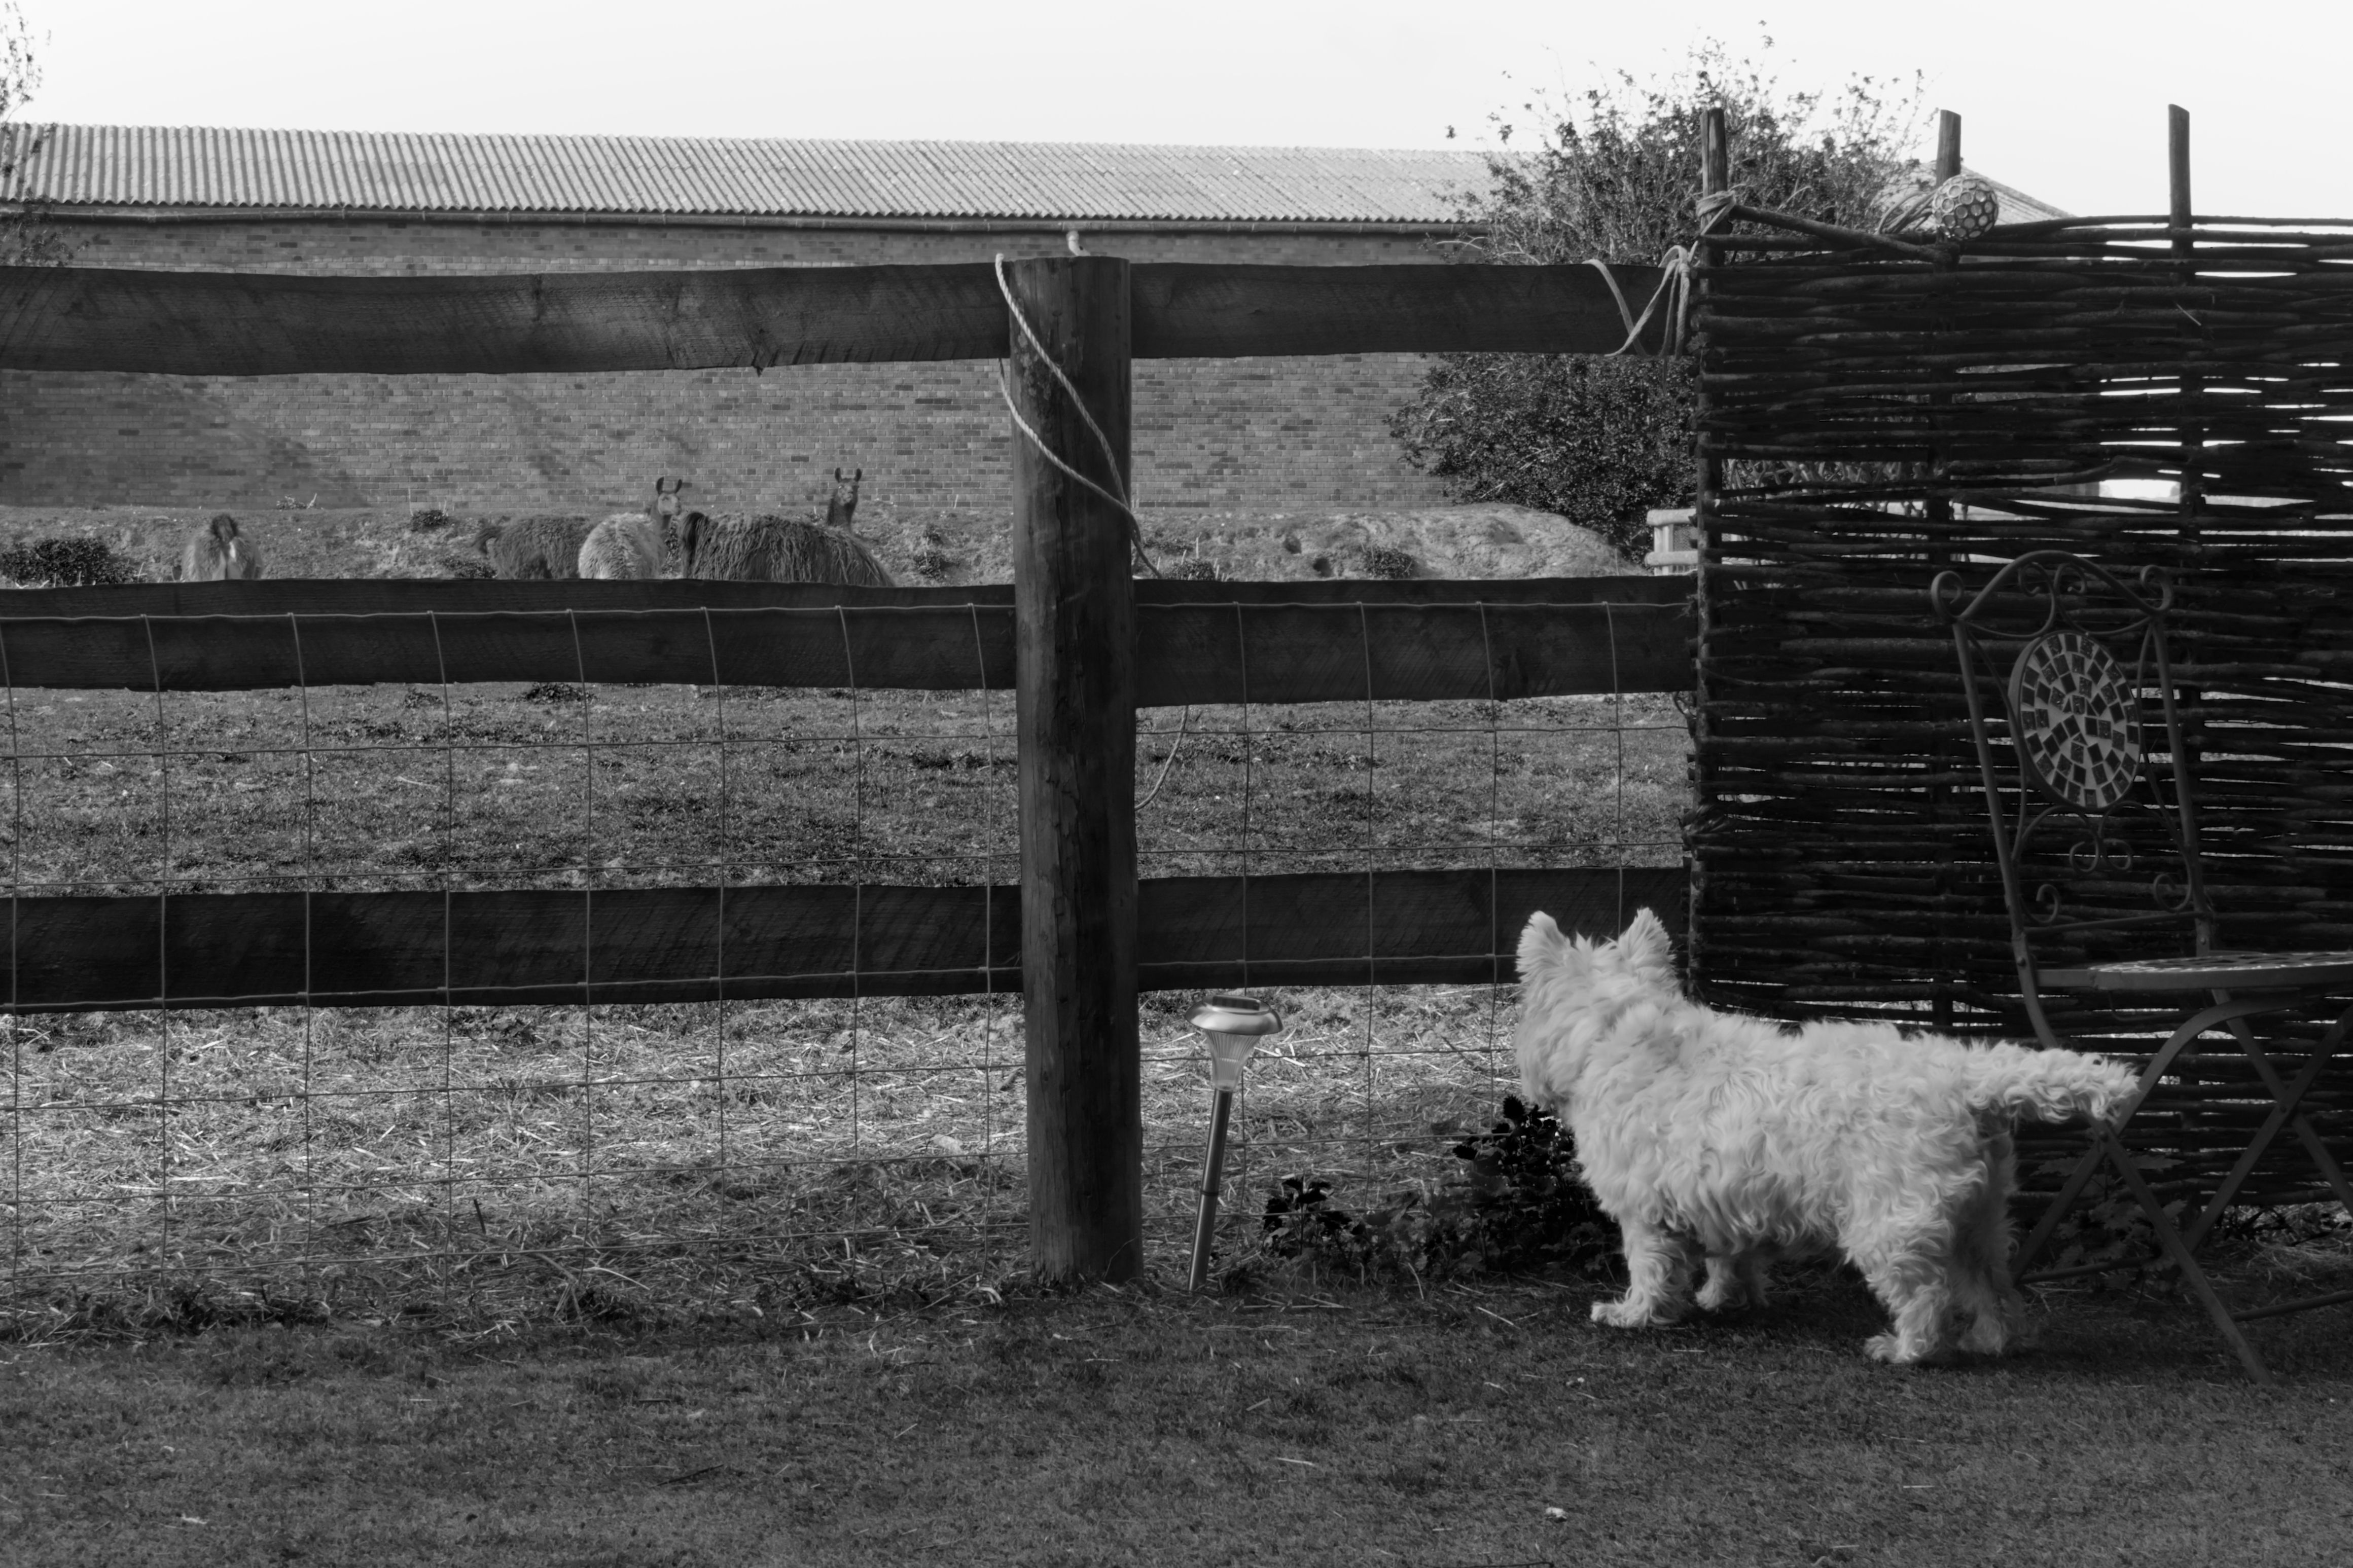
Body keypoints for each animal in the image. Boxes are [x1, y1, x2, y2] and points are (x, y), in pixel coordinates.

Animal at [1515, 907, 2146, 1363]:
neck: (1617, 1031)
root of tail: (1965, 1078)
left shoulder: (1644, 1212)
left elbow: (1649, 1270)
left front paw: (1632, 1315)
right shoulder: (1723, 1197)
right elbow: (1731, 1258)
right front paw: (1725, 1299)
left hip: (1888, 1220)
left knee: (1926, 1296)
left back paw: (1903, 1350)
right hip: (1978, 1217)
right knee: (1992, 1287)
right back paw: (1985, 1342)